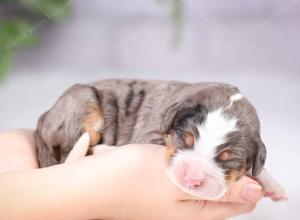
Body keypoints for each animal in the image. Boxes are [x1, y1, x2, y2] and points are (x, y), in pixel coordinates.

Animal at [34, 78, 286, 201]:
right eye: (187, 140)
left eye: (227, 158)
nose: (192, 179)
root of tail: (41, 124)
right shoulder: (151, 131)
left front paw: (274, 186)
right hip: (84, 101)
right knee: (73, 153)